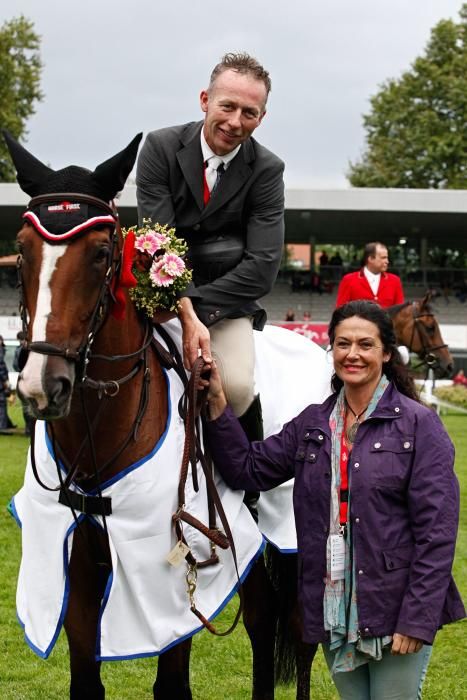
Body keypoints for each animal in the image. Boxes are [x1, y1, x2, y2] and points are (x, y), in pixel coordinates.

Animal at [5, 133, 316, 700]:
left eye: (102, 253)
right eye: (21, 251)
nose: (43, 386)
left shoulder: (172, 584)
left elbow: (172, 684)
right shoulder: (73, 568)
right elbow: (85, 681)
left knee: (303, 635)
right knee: (262, 623)